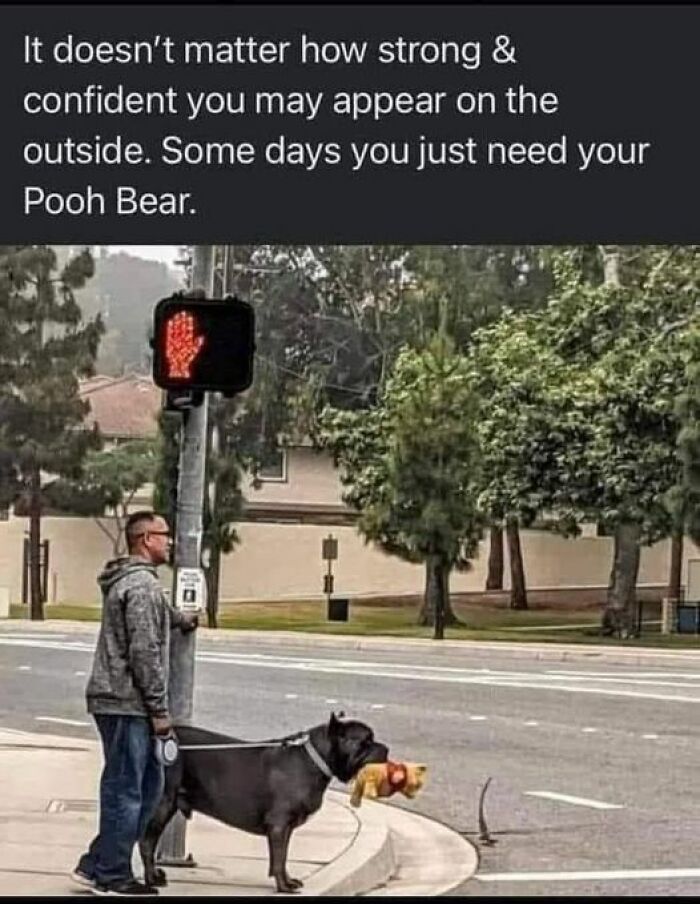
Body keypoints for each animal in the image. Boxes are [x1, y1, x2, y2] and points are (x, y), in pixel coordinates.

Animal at [137, 716, 388, 892]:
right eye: (365, 741)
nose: (386, 748)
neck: (314, 760)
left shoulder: (285, 829)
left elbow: (282, 856)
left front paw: (287, 880)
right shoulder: (279, 825)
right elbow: (279, 857)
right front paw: (283, 886)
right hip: (163, 804)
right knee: (147, 842)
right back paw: (151, 879)